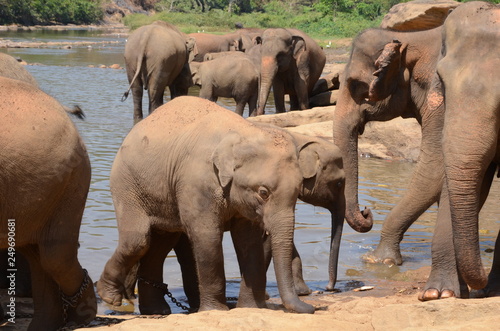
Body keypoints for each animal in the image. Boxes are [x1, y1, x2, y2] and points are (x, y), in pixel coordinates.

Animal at [98, 94, 314, 316]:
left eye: (298, 191)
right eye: (263, 192)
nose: (311, 307)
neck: (243, 131)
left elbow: (248, 240)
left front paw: (250, 308)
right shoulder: (196, 181)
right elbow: (207, 236)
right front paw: (216, 310)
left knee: (161, 241)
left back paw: (156, 311)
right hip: (127, 184)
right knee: (138, 240)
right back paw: (110, 297)